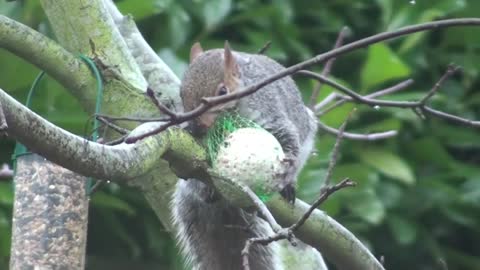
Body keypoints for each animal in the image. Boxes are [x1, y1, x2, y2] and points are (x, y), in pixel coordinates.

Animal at [172, 42, 322, 270]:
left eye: (223, 91)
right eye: (182, 95)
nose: (196, 127)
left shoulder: (270, 116)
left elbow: (287, 140)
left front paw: (286, 175)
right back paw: (206, 189)